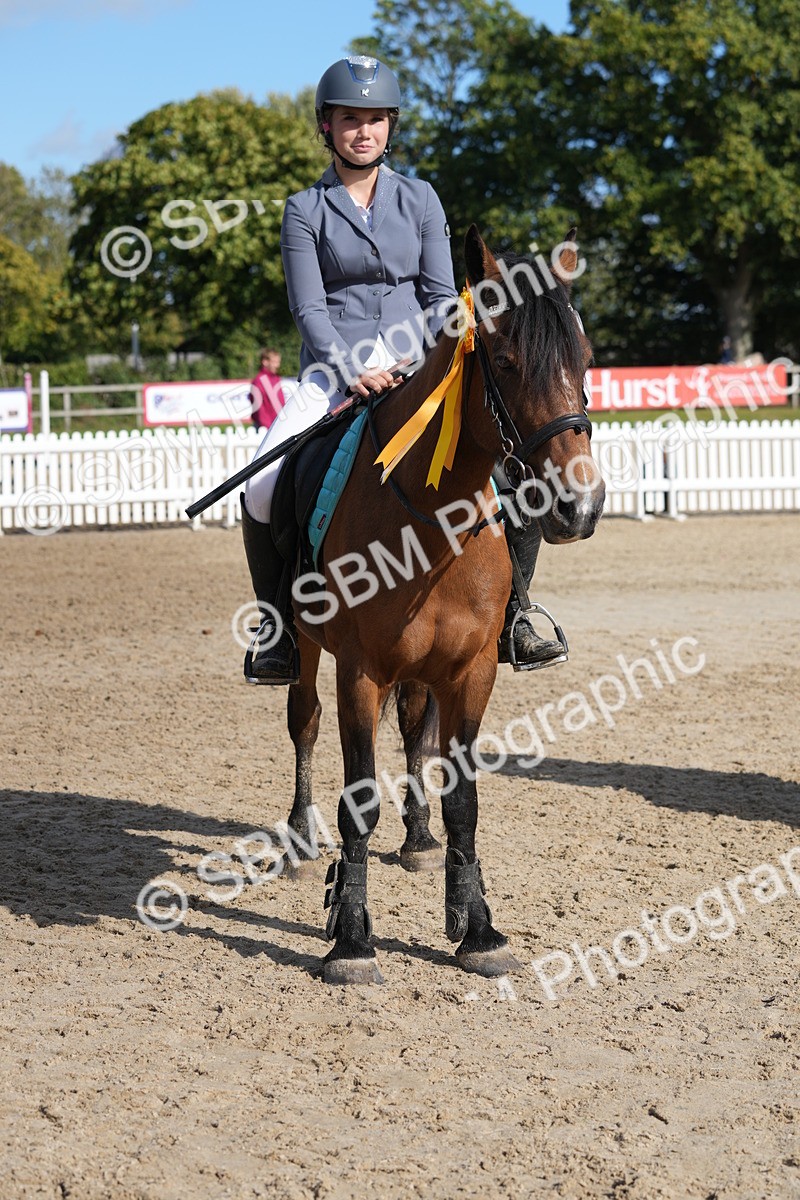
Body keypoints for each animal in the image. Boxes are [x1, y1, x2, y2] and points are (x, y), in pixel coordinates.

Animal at [276, 225, 605, 984]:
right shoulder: (359, 673)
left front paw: (476, 928)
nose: (579, 507)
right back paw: (302, 840)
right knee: (304, 723)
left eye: (586, 359)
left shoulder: (471, 670)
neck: (429, 523)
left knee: (413, 731)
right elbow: (358, 800)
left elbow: (464, 799)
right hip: (306, 652)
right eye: (506, 362)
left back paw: (420, 840)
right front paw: (351, 940)